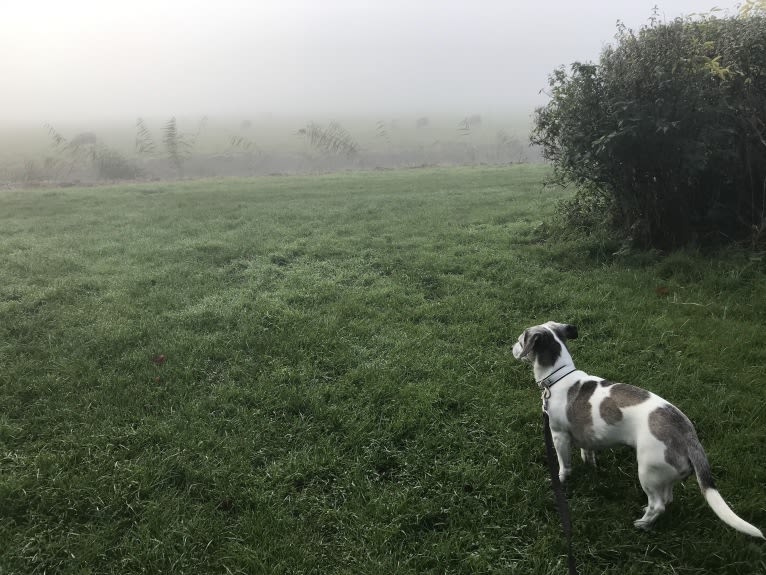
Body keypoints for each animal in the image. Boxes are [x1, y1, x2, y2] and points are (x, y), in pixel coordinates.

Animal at [512, 322, 764, 536]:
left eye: (521, 339)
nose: (511, 346)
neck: (558, 377)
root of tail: (686, 433)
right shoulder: (587, 437)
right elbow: (588, 453)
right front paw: (591, 466)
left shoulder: (559, 436)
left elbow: (564, 465)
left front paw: (560, 480)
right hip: (664, 473)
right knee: (667, 497)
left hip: (647, 471)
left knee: (658, 505)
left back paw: (641, 524)